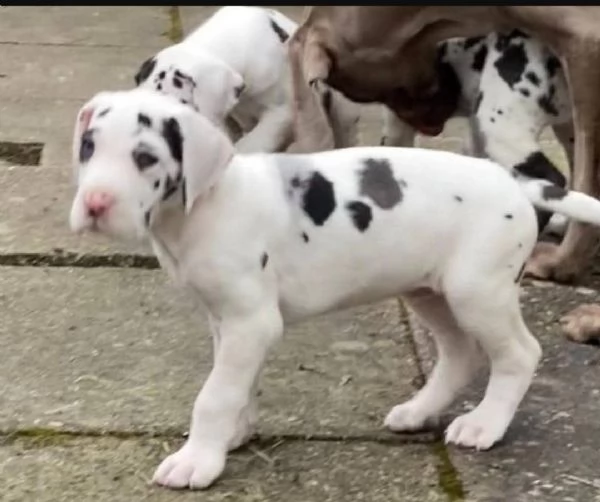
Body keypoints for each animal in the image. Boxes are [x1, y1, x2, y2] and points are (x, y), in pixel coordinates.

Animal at [69, 87, 600, 490]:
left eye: (145, 158)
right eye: (88, 148)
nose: (94, 204)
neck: (205, 205)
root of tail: (512, 181)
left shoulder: (250, 323)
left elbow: (214, 395)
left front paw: (197, 459)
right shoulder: (227, 321)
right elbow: (238, 386)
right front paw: (233, 435)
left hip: (478, 293)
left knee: (519, 354)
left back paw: (484, 424)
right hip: (429, 292)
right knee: (460, 353)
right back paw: (419, 411)